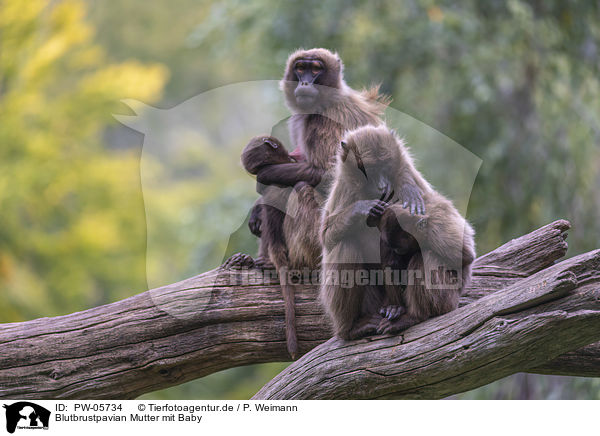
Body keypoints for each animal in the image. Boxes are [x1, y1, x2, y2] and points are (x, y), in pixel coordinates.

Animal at [322, 124, 476, 338]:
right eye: (369, 171)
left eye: (385, 167)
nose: (381, 186)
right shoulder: (344, 185)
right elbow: (326, 236)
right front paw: (362, 209)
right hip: (373, 304)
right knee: (346, 245)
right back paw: (351, 327)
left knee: (425, 257)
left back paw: (411, 315)